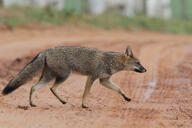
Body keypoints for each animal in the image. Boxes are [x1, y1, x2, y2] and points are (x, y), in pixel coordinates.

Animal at [1, 46, 146, 108]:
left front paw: (127, 98)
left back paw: (33, 103)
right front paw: (84, 105)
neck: (110, 61)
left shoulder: (104, 80)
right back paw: (61, 101)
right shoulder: (92, 77)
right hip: (64, 76)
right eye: (138, 63)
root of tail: (46, 50)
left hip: (49, 77)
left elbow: (119, 89)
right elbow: (86, 93)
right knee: (51, 88)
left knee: (33, 87)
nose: (146, 69)